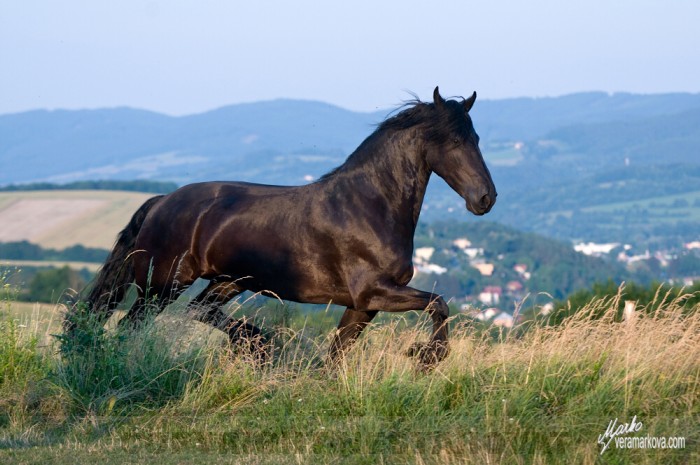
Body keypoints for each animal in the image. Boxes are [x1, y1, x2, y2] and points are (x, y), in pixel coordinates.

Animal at [74, 87, 494, 366]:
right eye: (452, 140)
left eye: (475, 137)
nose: (486, 199)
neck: (370, 206)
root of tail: (162, 202)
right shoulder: (375, 292)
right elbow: (440, 303)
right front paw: (426, 355)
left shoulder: (363, 305)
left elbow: (337, 355)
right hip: (160, 287)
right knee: (131, 326)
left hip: (226, 283)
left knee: (200, 312)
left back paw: (256, 343)